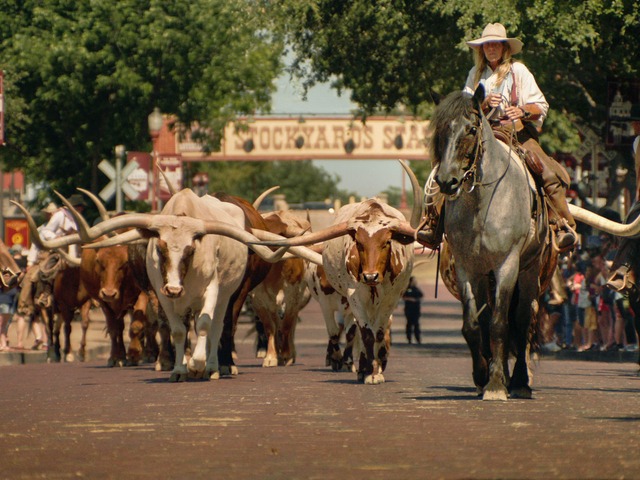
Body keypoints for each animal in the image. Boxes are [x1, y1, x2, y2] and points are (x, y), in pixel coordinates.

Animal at [430, 86, 556, 402]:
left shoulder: (506, 264)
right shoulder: (468, 267)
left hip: (529, 270)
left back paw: (520, 381)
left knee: (522, 321)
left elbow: (501, 324)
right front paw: (482, 376)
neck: (482, 204)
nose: (447, 181)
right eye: (440, 130)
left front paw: (497, 385)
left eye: (472, 129)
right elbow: (474, 325)